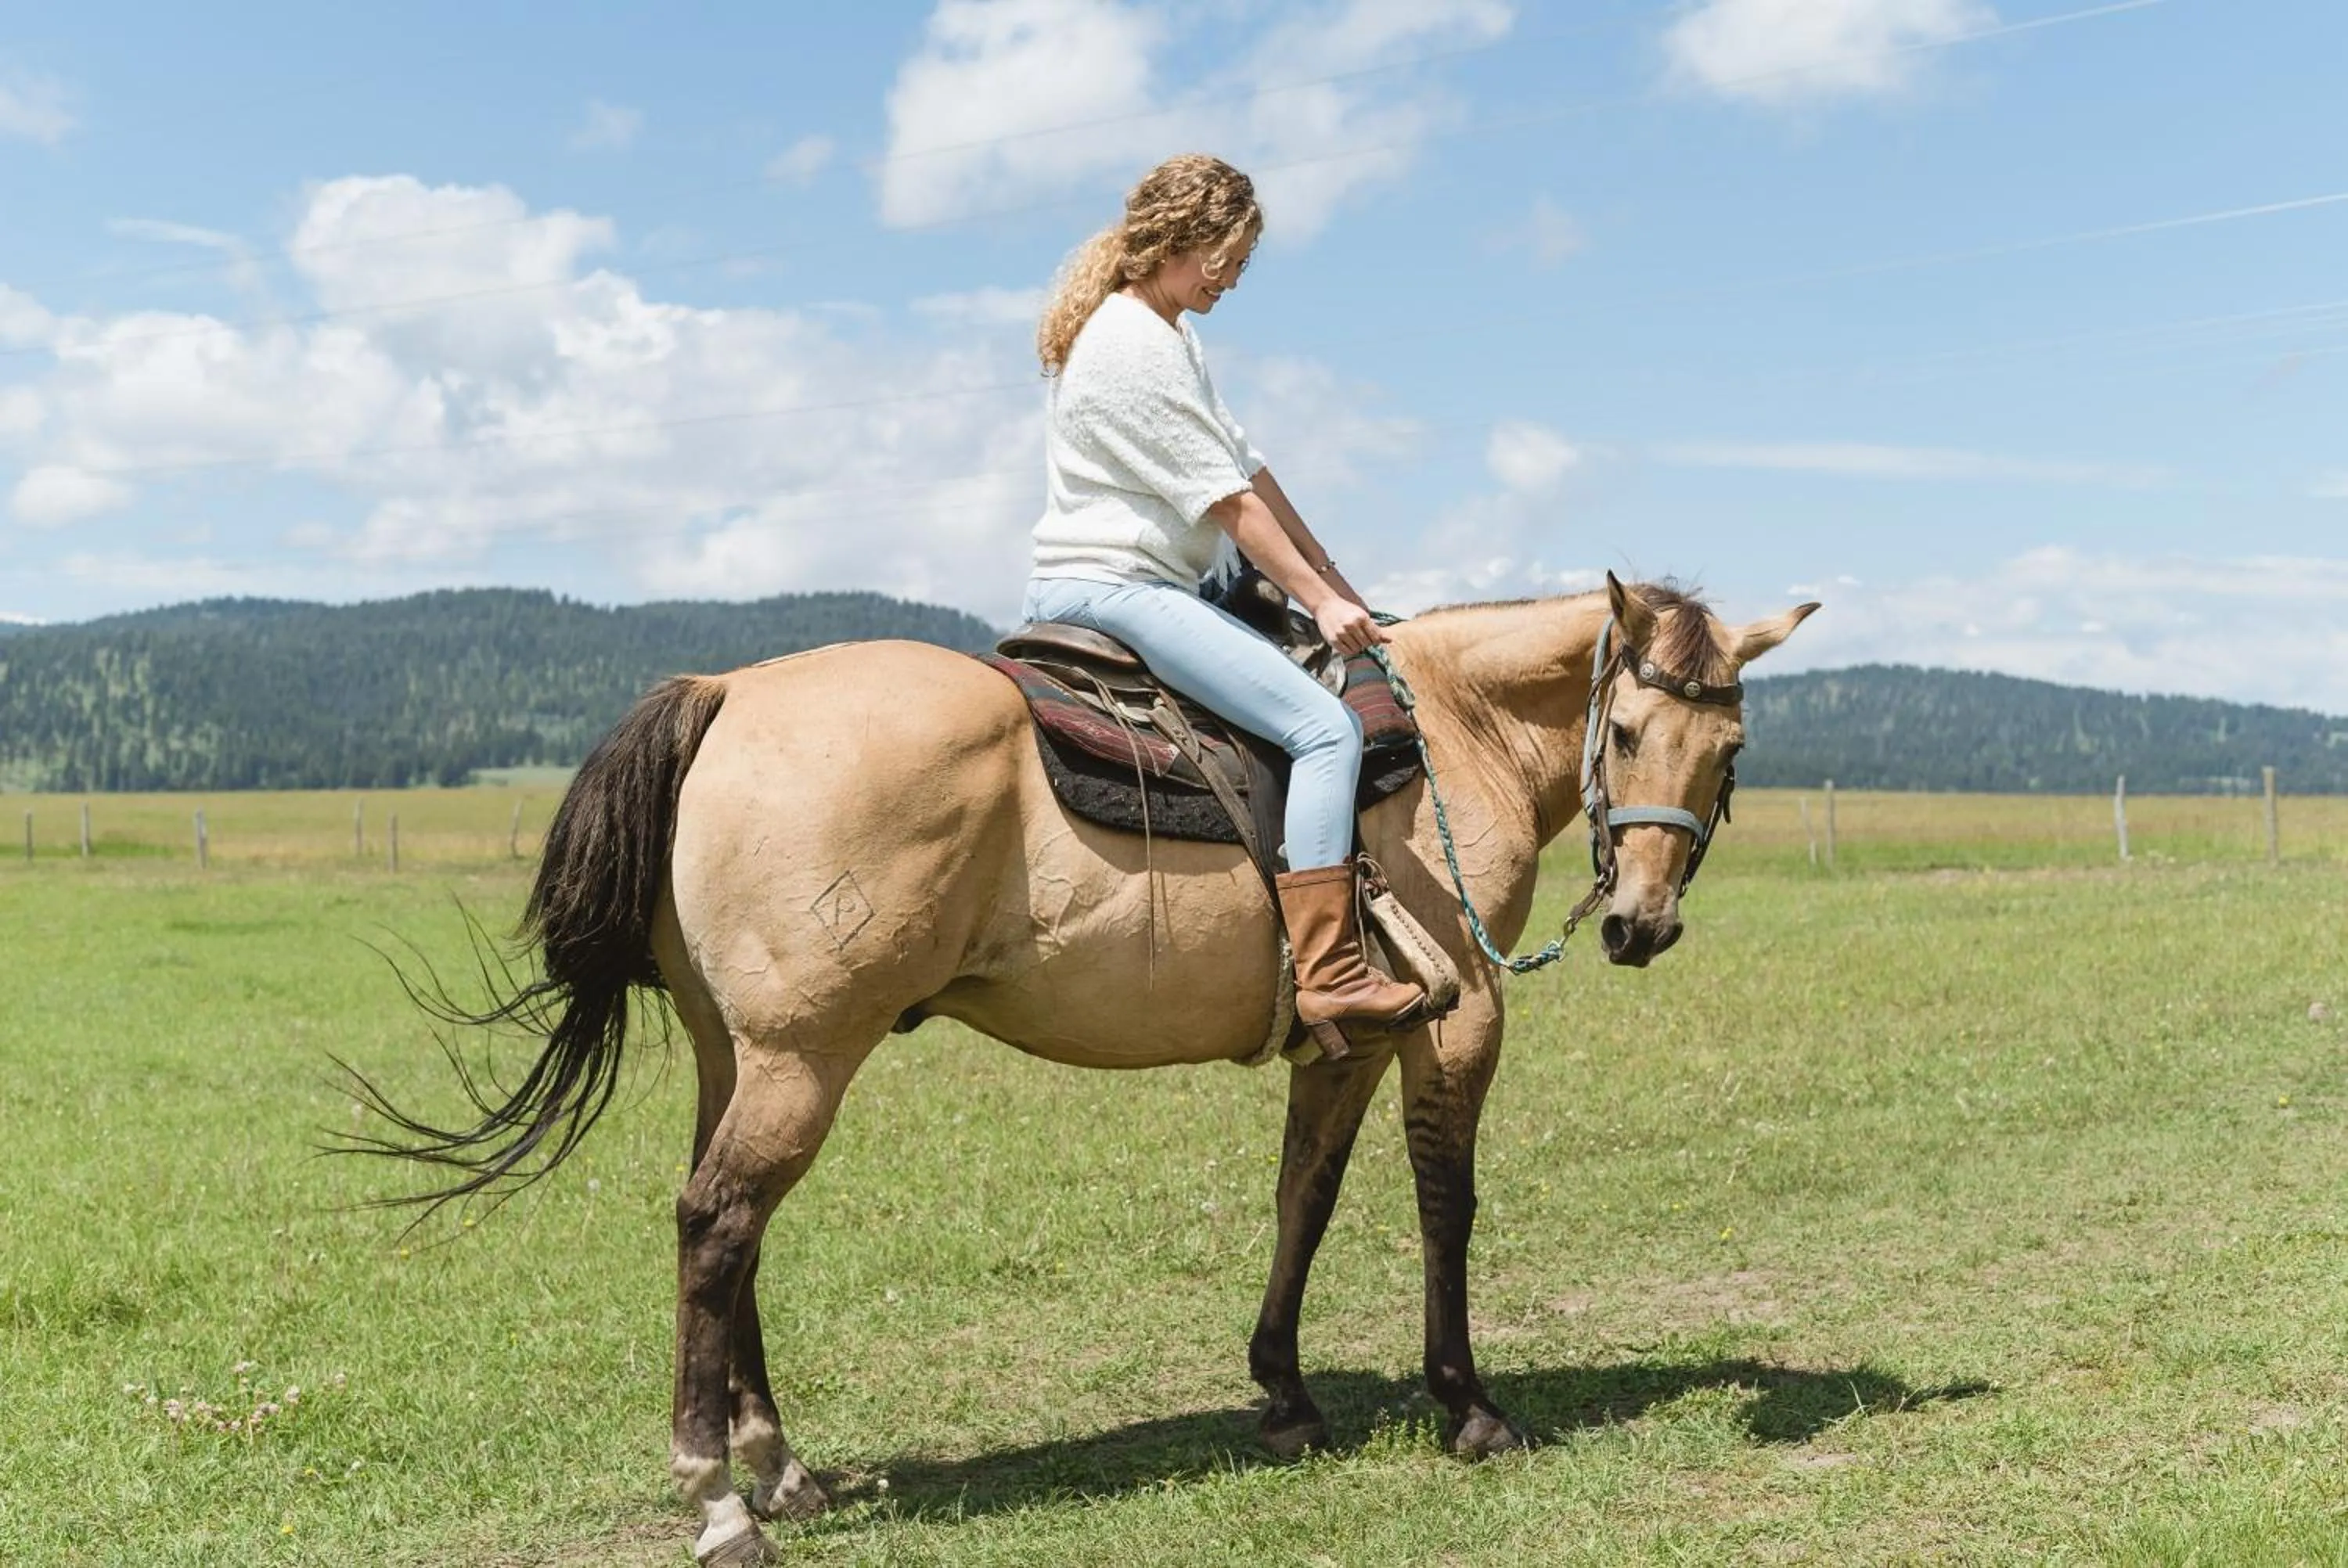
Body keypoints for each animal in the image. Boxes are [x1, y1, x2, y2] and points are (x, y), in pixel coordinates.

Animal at [357, 572, 1816, 1565]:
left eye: (1730, 750)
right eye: (1621, 734)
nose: (1640, 924)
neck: (1449, 739)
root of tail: (724, 695)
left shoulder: (1351, 1033)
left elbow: (1305, 1195)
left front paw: (1285, 1393)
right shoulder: (1454, 1024)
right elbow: (1444, 1203)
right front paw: (1468, 1407)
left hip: (745, 1054)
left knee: (732, 1233)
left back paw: (780, 1470)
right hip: (802, 1058)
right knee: (717, 1226)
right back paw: (723, 1501)